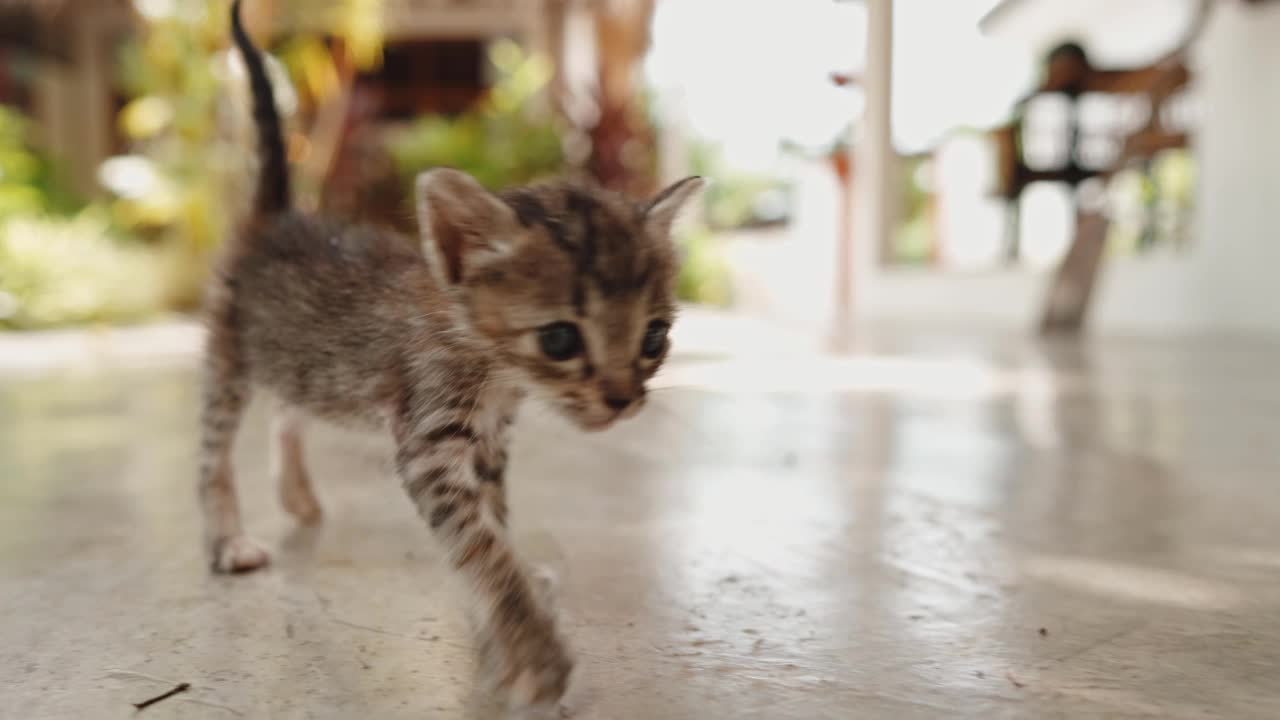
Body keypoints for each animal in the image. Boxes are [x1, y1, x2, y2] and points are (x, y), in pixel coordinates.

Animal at [199, 0, 701, 707]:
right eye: (560, 339)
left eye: (654, 336)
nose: (622, 399)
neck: (494, 370)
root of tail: (278, 218)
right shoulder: (430, 445)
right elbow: (479, 543)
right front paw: (532, 651)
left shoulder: (490, 440)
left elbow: (493, 526)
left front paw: (504, 604)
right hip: (228, 355)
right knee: (213, 456)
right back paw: (226, 540)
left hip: (300, 361)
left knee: (290, 408)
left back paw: (296, 495)